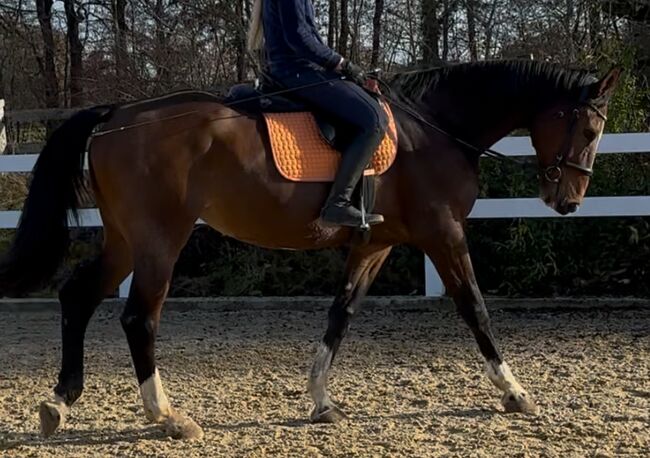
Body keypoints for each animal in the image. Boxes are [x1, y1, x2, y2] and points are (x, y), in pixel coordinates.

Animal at [0, 59, 616, 438]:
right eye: (588, 131)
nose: (567, 201)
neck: (434, 129)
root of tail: (115, 116)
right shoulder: (443, 234)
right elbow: (476, 309)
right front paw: (515, 392)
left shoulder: (377, 243)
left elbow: (340, 314)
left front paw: (321, 402)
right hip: (159, 239)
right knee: (138, 317)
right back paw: (168, 416)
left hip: (126, 240)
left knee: (78, 297)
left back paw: (59, 402)